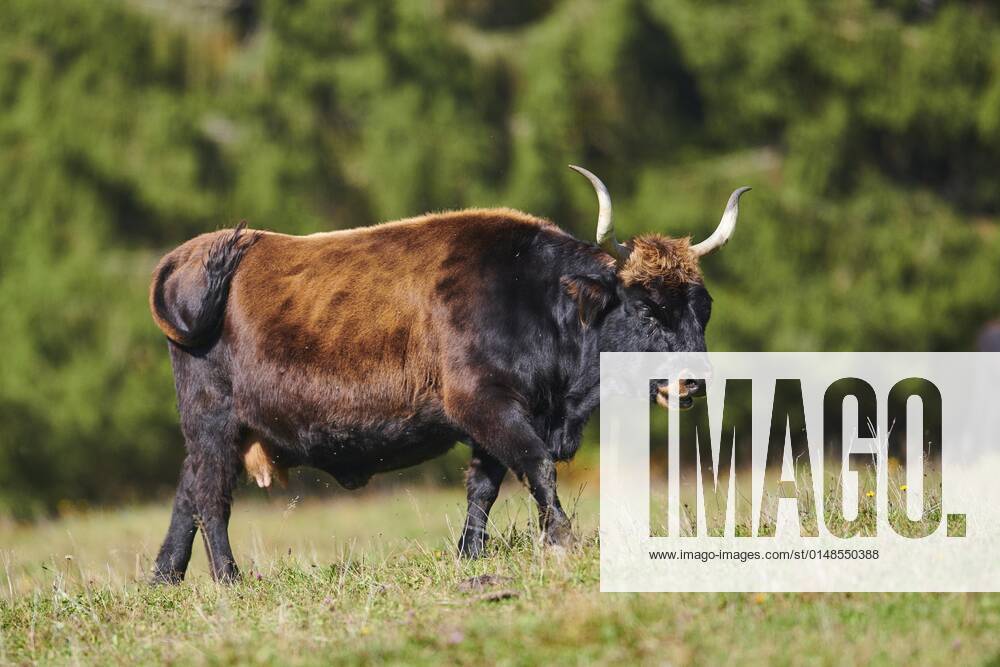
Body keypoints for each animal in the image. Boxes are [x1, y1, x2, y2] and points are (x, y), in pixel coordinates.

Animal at [146, 168, 744, 584]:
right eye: (646, 308)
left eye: (703, 308)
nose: (693, 382)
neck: (531, 297)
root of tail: (193, 252)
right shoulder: (486, 403)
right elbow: (537, 466)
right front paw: (560, 541)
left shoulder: (495, 419)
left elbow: (484, 486)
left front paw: (469, 553)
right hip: (214, 420)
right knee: (210, 496)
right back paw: (228, 579)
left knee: (187, 491)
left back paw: (164, 579)